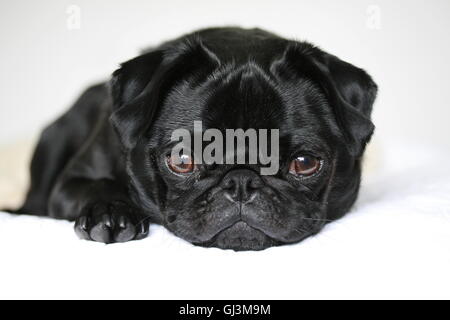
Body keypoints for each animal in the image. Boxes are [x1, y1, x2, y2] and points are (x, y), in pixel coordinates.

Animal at [12, 27, 376, 251]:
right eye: (182, 160)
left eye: (304, 163)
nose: (241, 181)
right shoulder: (71, 182)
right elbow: (97, 185)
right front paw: (110, 213)